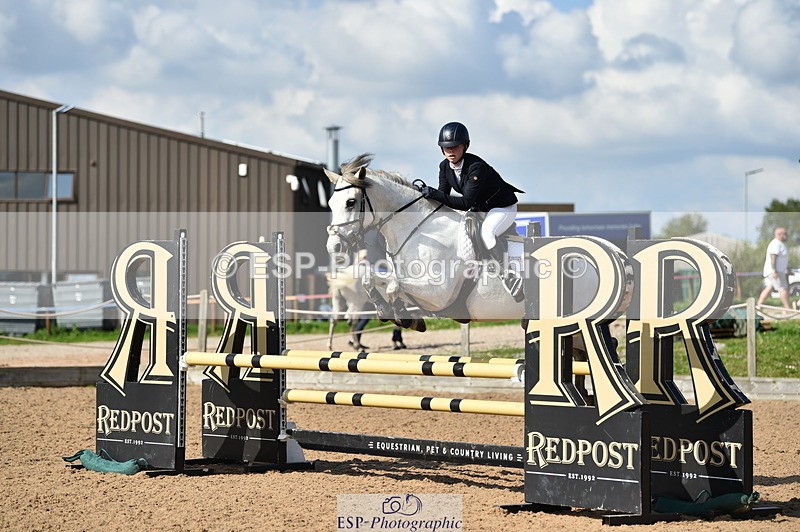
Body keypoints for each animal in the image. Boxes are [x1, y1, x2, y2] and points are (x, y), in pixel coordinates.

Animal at [324, 153, 524, 326]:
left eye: (350, 202)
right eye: (330, 204)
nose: (333, 247)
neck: (420, 232)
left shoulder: (439, 293)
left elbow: (393, 286)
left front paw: (402, 316)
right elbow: (372, 279)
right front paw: (388, 311)